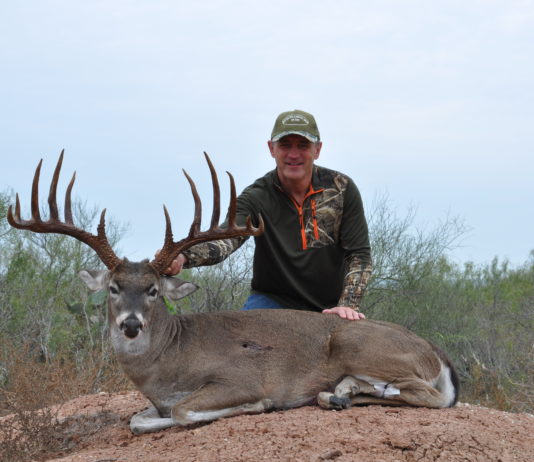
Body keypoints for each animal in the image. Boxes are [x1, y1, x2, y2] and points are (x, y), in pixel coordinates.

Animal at [8, 151, 460, 434]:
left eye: (153, 290)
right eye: (115, 287)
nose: (131, 325)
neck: (167, 362)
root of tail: (436, 352)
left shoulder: (240, 376)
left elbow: (182, 410)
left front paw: (258, 405)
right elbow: (138, 419)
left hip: (359, 345)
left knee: (430, 396)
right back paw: (340, 394)